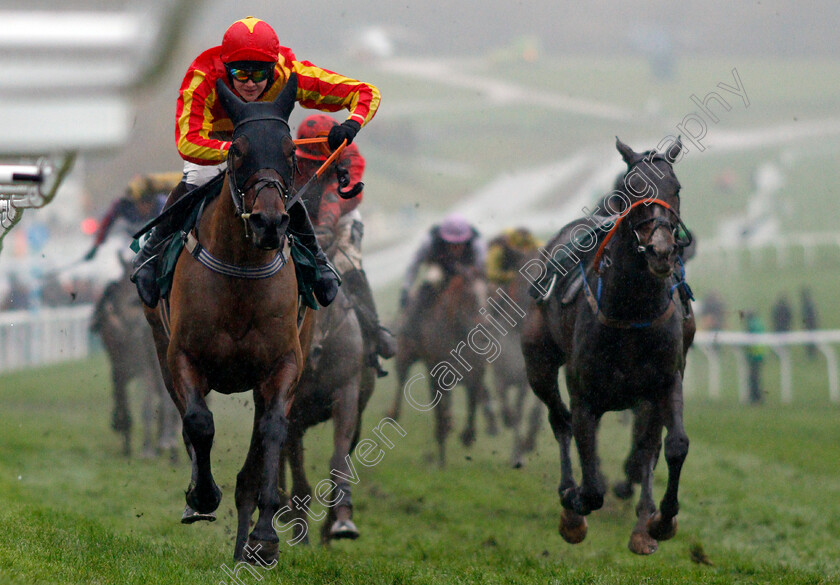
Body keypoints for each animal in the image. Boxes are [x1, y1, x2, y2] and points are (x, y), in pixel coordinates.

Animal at [143, 74, 314, 560]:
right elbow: (199, 424)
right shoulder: (183, 355)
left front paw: (266, 535)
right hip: (160, 346)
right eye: (237, 150)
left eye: (291, 151)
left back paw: (246, 546)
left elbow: (273, 432)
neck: (242, 273)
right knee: (188, 420)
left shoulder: (283, 364)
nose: (269, 223)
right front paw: (201, 496)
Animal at [278, 237, 378, 544]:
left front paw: (340, 521)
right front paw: (300, 533)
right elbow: (297, 467)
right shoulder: (293, 411)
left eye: (326, 301)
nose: (311, 349)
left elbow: (338, 460)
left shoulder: (347, 395)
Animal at [390, 268, 496, 466]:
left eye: (489, 293)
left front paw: (468, 435)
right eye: (469, 295)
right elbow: (438, 411)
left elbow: (474, 397)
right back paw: (393, 413)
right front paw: (441, 458)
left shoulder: (477, 370)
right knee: (401, 378)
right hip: (404, 353)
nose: (485, 327)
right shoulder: (436, 372)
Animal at [520, 137, 696, 552]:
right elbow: (591, 484)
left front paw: (660, 520)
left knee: (647, 447)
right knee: (559, 420)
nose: (662, 250)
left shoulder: (665, 382)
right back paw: (569, 497)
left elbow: (672, 445)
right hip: (538, 364)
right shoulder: (585, 394)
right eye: (631, 191)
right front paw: (574, 506)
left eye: (676, 188)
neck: (631, 311)